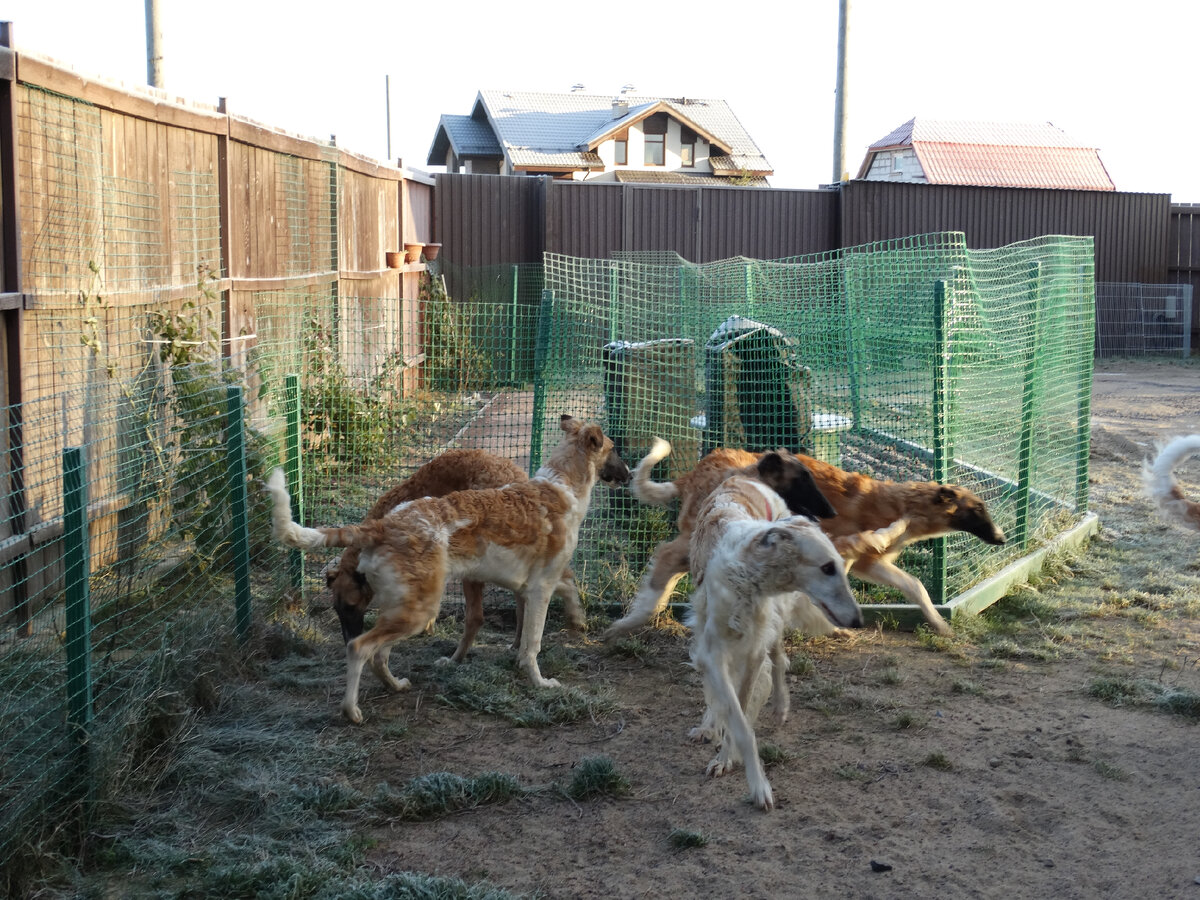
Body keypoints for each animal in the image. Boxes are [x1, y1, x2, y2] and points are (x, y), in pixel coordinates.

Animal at [319, 448, 580, 657]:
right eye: (336, 608)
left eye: (350, 606)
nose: (347, 641)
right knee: (522, 602)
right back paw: (517, 644)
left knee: (478, 616)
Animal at [604, 439, 1008, 643]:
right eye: (977, 510)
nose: (1003, 538)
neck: (895, 504)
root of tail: (694, 471)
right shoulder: (843, 553)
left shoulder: (871, 564)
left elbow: (916, 586)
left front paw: (939, 624)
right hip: (700, 536)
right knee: (666, 558)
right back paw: (641, 614)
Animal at [686, 475, 864, 816]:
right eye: (827, 567)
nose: (859, 620)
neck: (744, 572)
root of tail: (743, 476)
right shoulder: (714, 651)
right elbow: (737, 720)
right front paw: (756, 785)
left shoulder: (754, 650)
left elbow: (743, 712)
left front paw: (729, 760)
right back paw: (709, 724)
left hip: (775, 620)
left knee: (780, 660)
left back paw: (781, 707)